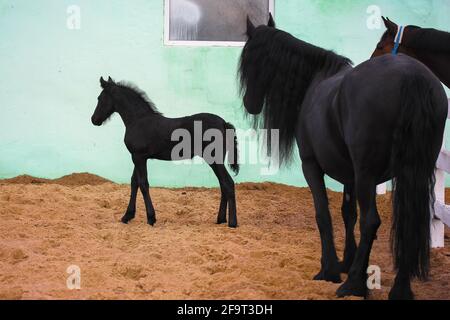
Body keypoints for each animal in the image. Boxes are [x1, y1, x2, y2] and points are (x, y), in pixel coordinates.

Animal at [91, 77, 239, 228]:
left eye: (100, 98)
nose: (94, 120)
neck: (138, 120)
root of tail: (224, 123)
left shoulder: (138, 157)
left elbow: (143, 184)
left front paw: (151, 218)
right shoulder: (137, 157)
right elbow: (134, 183)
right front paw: (127, 216)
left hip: (214, 159)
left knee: (228, 183)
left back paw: (232, 222)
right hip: (215, 161)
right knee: (223, 184)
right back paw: (220, 219)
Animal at [239, 16, 446, 298]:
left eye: (250, 59)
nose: (249, 104)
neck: (316, 80)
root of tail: (412, 77)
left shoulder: (312, 166)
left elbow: (324, 215)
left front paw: (330, 270)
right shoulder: (350, 175)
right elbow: (348, 214)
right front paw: (347, 261)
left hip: (367, 174)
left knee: (371, 221)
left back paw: (354, 284)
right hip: (413, 172)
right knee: (409, 224)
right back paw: (399, 289)